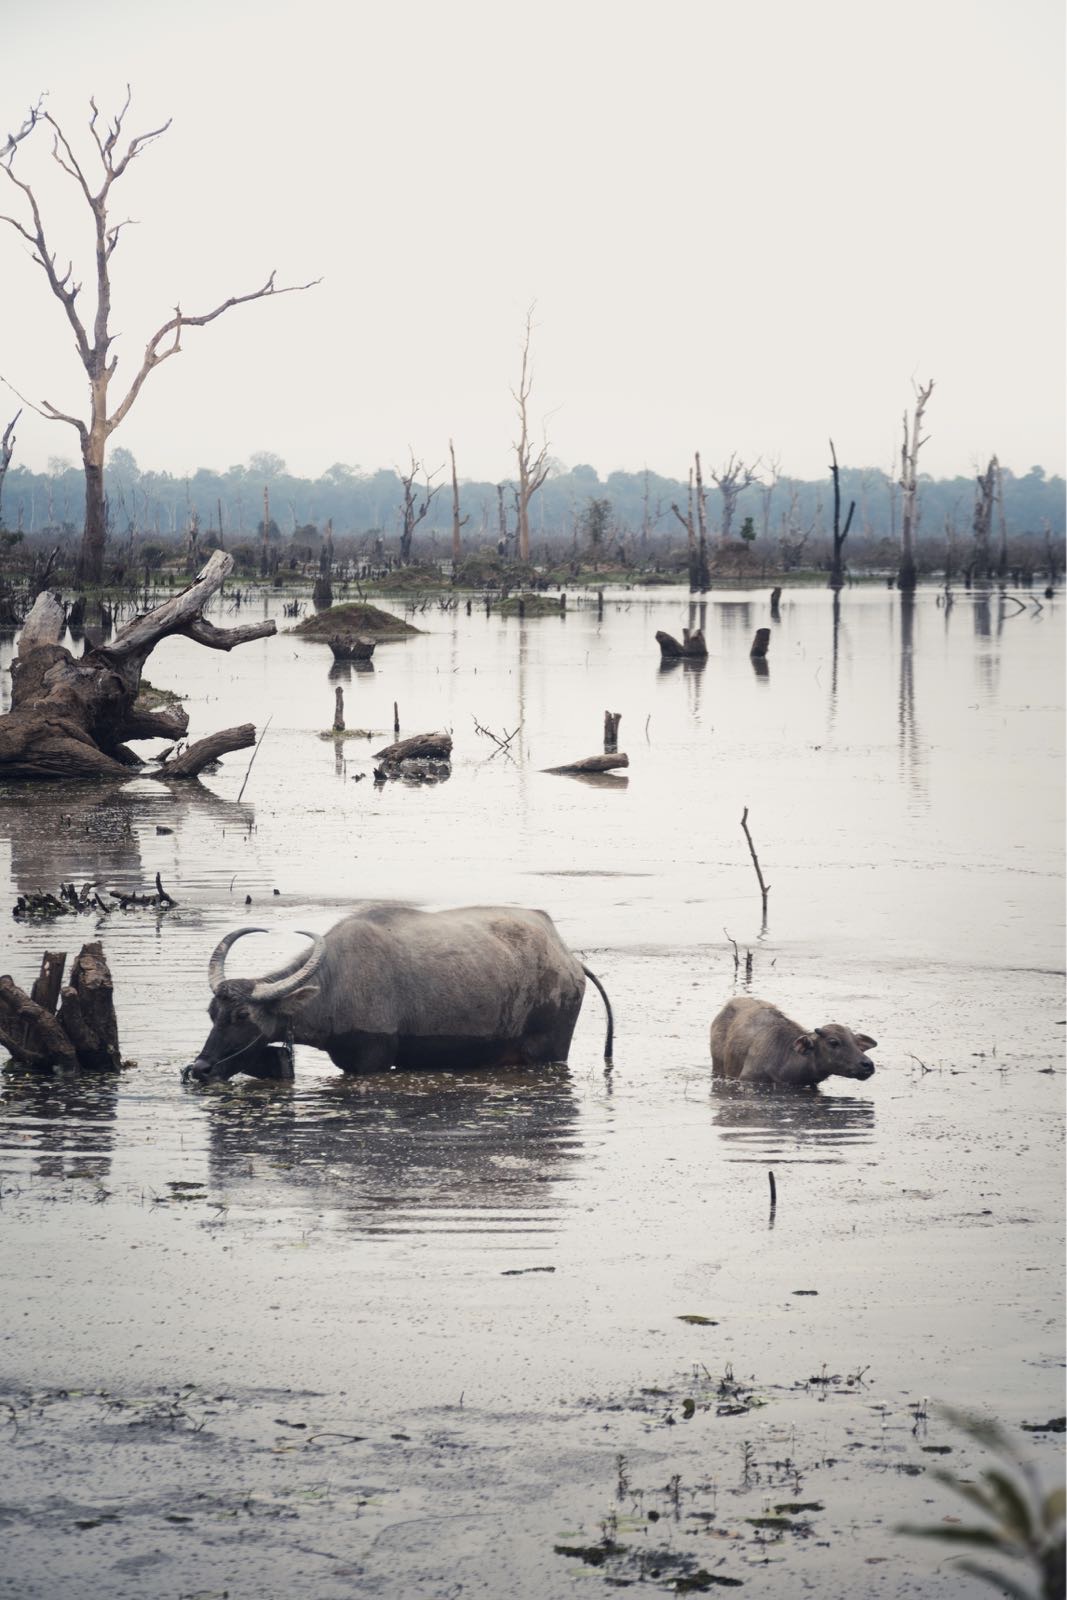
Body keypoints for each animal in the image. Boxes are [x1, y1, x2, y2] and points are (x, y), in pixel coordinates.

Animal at [182, 902, 614, 1088]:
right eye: (211, 1013)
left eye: (243, 1016)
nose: (201, 1068)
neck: (337, 985)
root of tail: (570, 960)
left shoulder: (370, 1060)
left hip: (549, 1052)